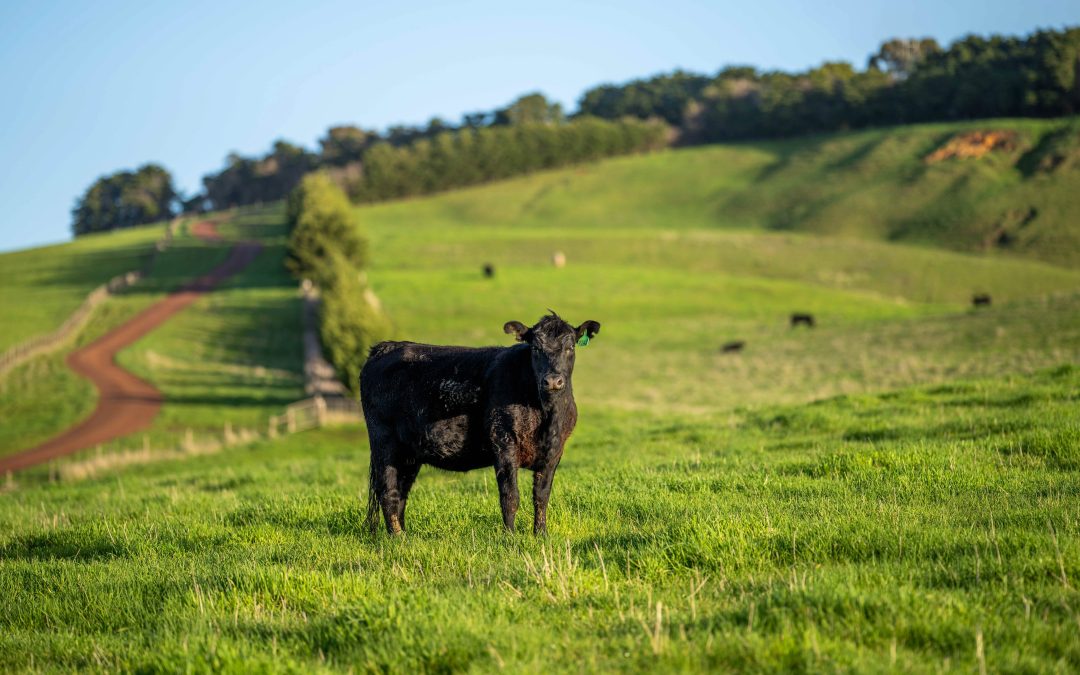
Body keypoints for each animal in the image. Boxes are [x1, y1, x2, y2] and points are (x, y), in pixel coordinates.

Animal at [360, 311, 600, 537]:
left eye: (570, 347)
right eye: (535, 348)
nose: (552, 381)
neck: (546, 416)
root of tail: (387, 347)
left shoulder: (554, 451)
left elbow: (541, 496)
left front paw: (541, 534)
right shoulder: (503, 441)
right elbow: (510, 496)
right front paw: (510, 537)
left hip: (410, 453)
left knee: (401, 493)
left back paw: (404, 534)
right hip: (384, 442)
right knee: (388, 492)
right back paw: (398, 538)